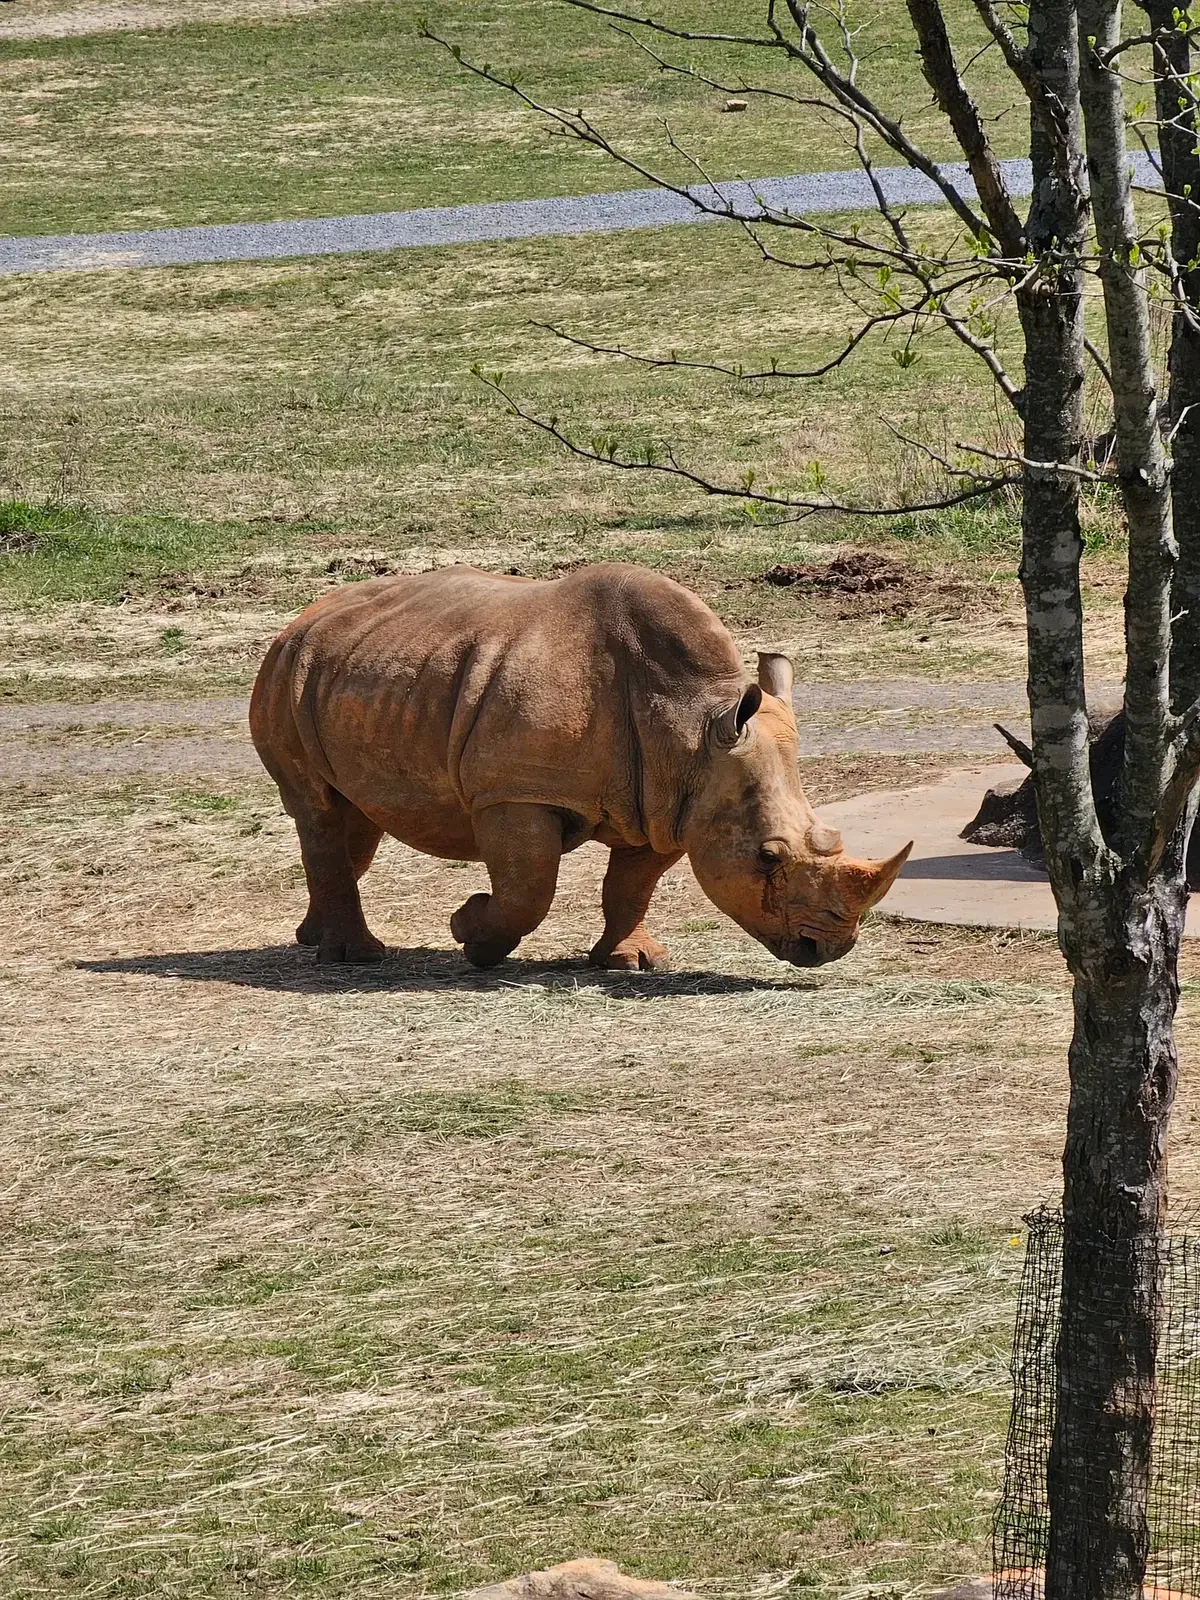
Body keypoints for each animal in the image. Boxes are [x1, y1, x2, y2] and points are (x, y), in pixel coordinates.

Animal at [249, 563, 911, 970]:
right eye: (768, 857)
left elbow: (630, 886)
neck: (693, 722)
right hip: (284, 674)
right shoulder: (514, 792)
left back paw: (313, 938)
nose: (827, 949)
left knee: (354, 818)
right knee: (318, 811)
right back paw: (356, 957)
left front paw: (633, 962)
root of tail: (301, 617)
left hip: (355, 671)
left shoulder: (670, 805)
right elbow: (529, 887)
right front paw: (470, 933)